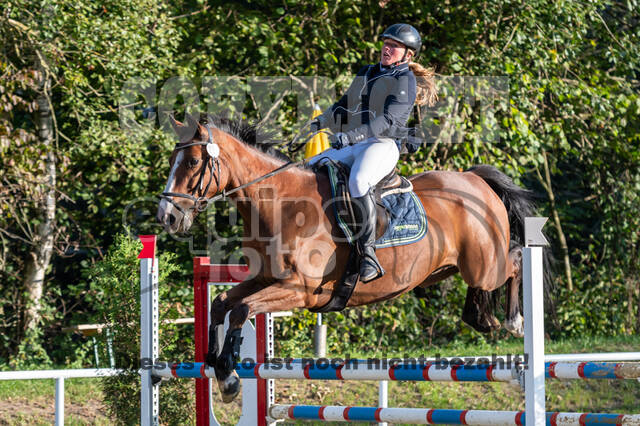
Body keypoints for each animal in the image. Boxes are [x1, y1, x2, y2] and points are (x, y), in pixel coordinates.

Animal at [155, 113, 540, 402]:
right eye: (171, 161)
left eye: (192, 162)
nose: (166, 217)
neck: (280, 204)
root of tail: (475, 179)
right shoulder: (265, 278)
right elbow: (221, 302)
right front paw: (218, 366)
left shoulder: (301, 290)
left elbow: (241, 309)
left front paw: (230, 378)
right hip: (448, 269)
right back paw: (481, 316)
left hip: (485, 266)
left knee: (516, 260)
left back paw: (513, 321)